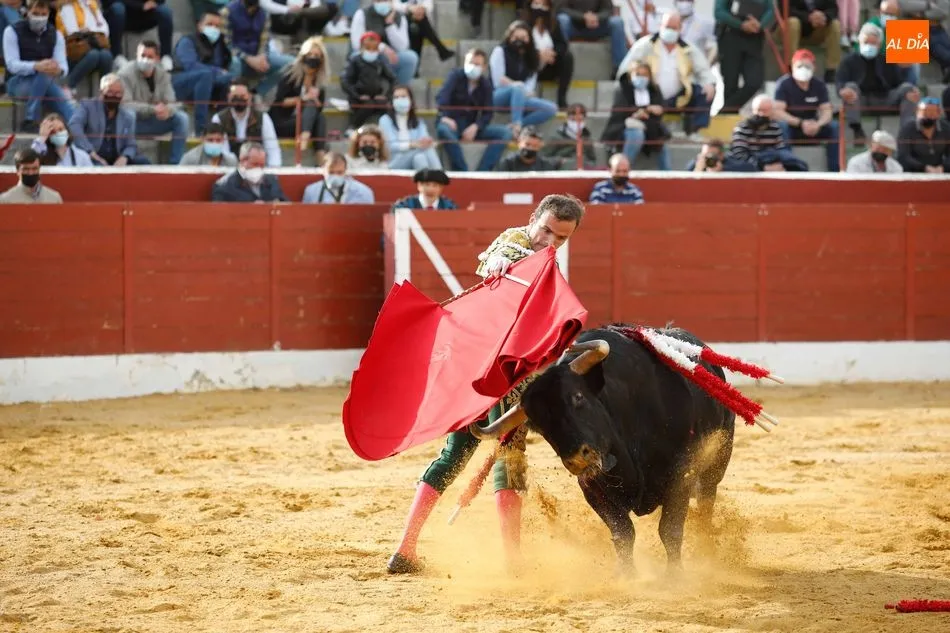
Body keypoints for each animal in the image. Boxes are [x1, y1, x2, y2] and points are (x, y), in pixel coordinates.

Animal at [470, 324, 736, 574]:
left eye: (578, 396)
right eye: (538, 426)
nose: (577, 459)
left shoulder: (681, 472)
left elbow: (670, 530)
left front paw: (675, 577)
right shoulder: (592, 487)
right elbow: (623, 533)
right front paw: (628, 576)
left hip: (716, 464)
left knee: (706, 503)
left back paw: (706, 551)